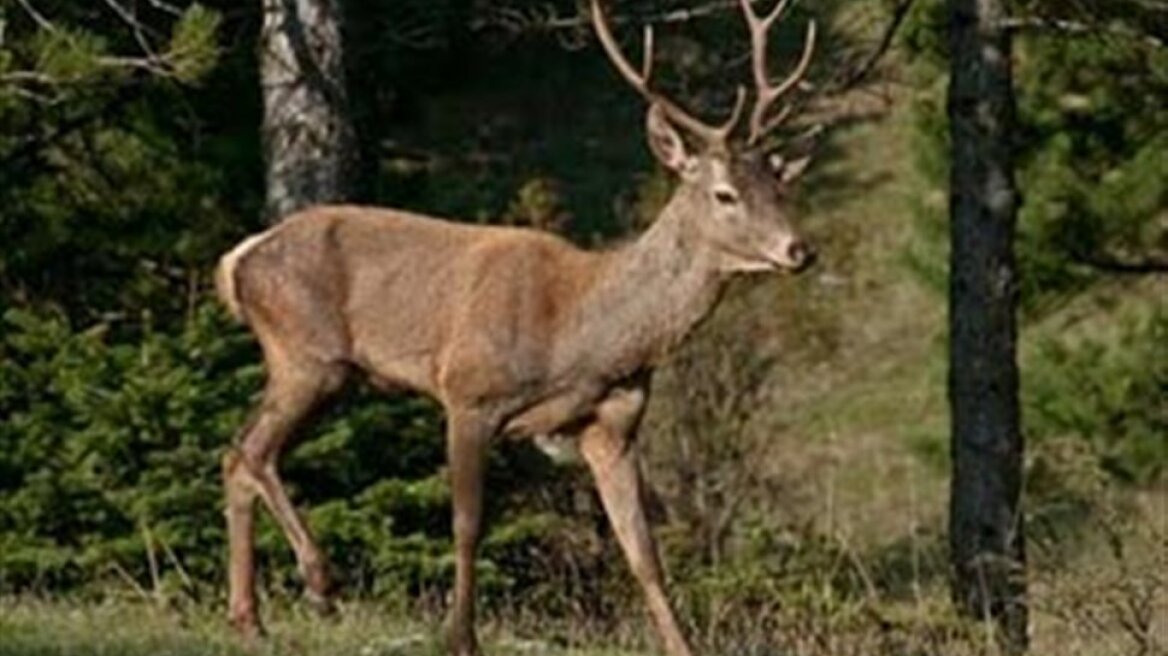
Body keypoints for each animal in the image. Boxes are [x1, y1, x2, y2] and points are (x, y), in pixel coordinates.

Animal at [219, 2, 817, 648]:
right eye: (725, 194)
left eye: (781, 188)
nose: (799, 250)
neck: (583, 340)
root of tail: (239, 260)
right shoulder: (469, 393)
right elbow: (466, 525)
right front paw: (460, 637)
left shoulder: (612, 430)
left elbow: (643, 555)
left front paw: (682, 646)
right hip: (308, 355)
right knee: (251, 451)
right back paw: (318, 584)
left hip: (330, 374)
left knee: (239, 455)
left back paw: (248, 615)